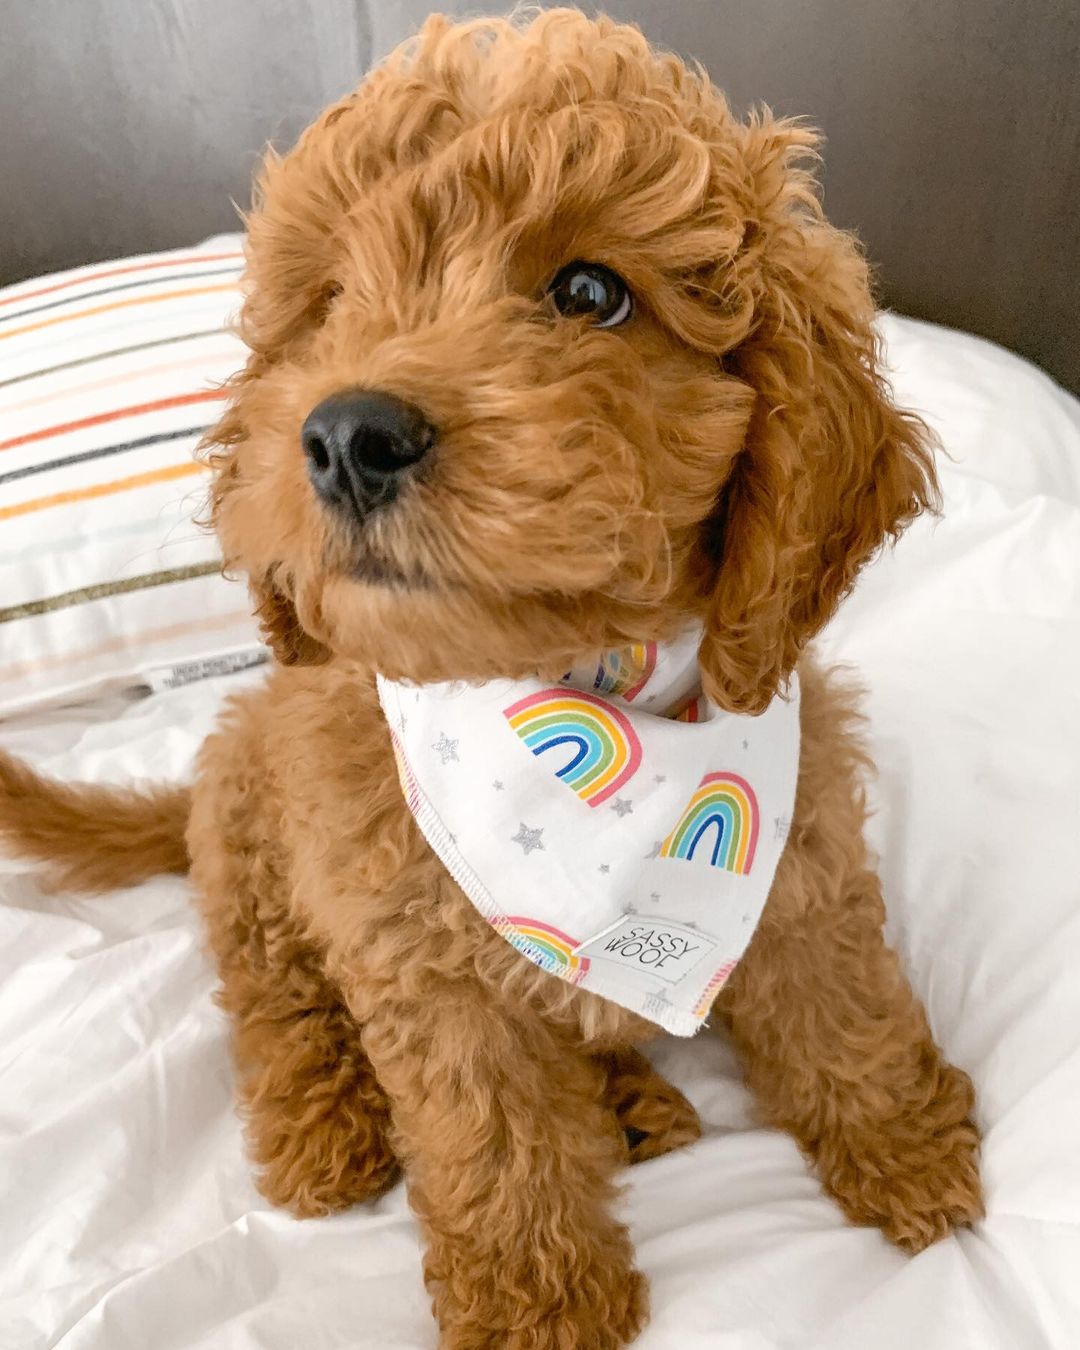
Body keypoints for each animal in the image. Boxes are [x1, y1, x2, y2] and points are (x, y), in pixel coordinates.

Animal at [0, 11, 982, 1348]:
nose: (345, 435)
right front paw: (541, 1302)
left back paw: (627, 1099)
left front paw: (906, 1147)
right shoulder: (423, 970)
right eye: (334, 300)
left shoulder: (802, 869)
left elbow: (844, 1007)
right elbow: (496, 1140)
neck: (575, 694)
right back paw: (324, 1122)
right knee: (269, 997)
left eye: (589, 293)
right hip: (256, 850)